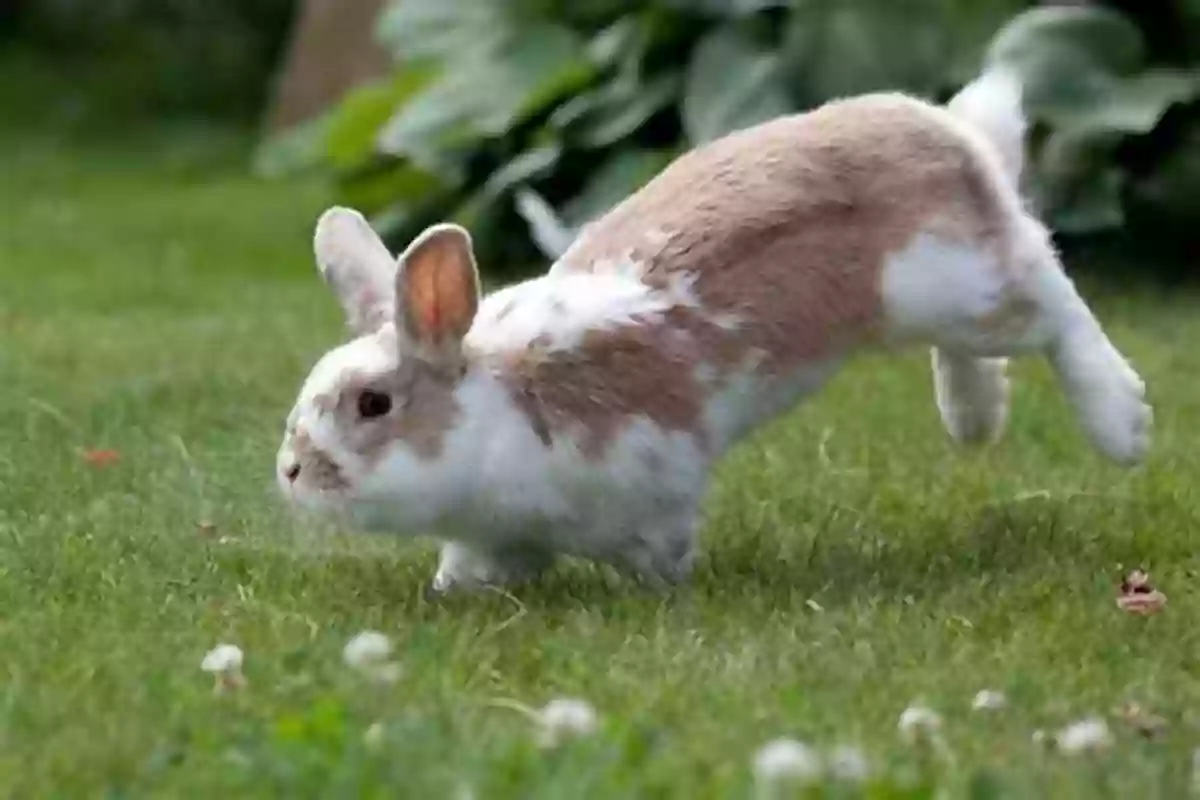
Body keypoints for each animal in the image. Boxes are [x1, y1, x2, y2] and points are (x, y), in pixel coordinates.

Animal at [274, 67, 1152, 594]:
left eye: (373, 404)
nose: (291, 472)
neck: (499, 403)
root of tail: (952, 133)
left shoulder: (655, 482)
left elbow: (661, 551)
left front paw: (662, 593)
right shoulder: (498, 535)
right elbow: (478, 565)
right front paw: (453, 590)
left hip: (961, 286)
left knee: (1055, 296)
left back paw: (1124, 425)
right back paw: (975, 419)